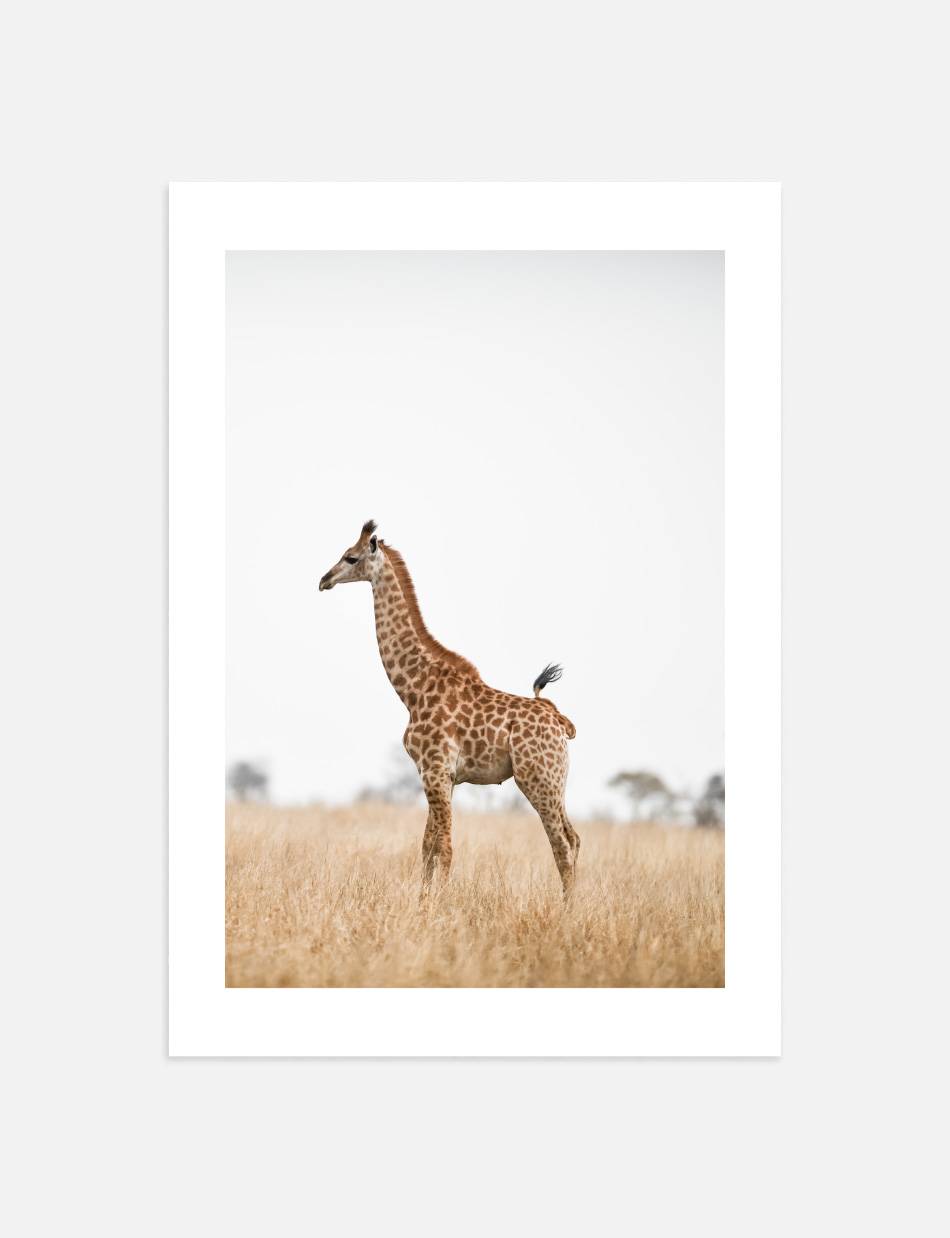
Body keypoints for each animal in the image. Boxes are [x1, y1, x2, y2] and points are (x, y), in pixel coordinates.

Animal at [319, 520, 580, 894]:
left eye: (350, 557)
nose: (323, 580)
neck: (413, 689)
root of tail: (561, 722)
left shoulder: (435, 769)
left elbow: (443, 846)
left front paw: (436, 902)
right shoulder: (440, 774)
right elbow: (428, 845)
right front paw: (422, 901)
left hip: (537, 778)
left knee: (561, 844)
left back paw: (567, 907)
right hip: (556, 782)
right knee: (574, 838)